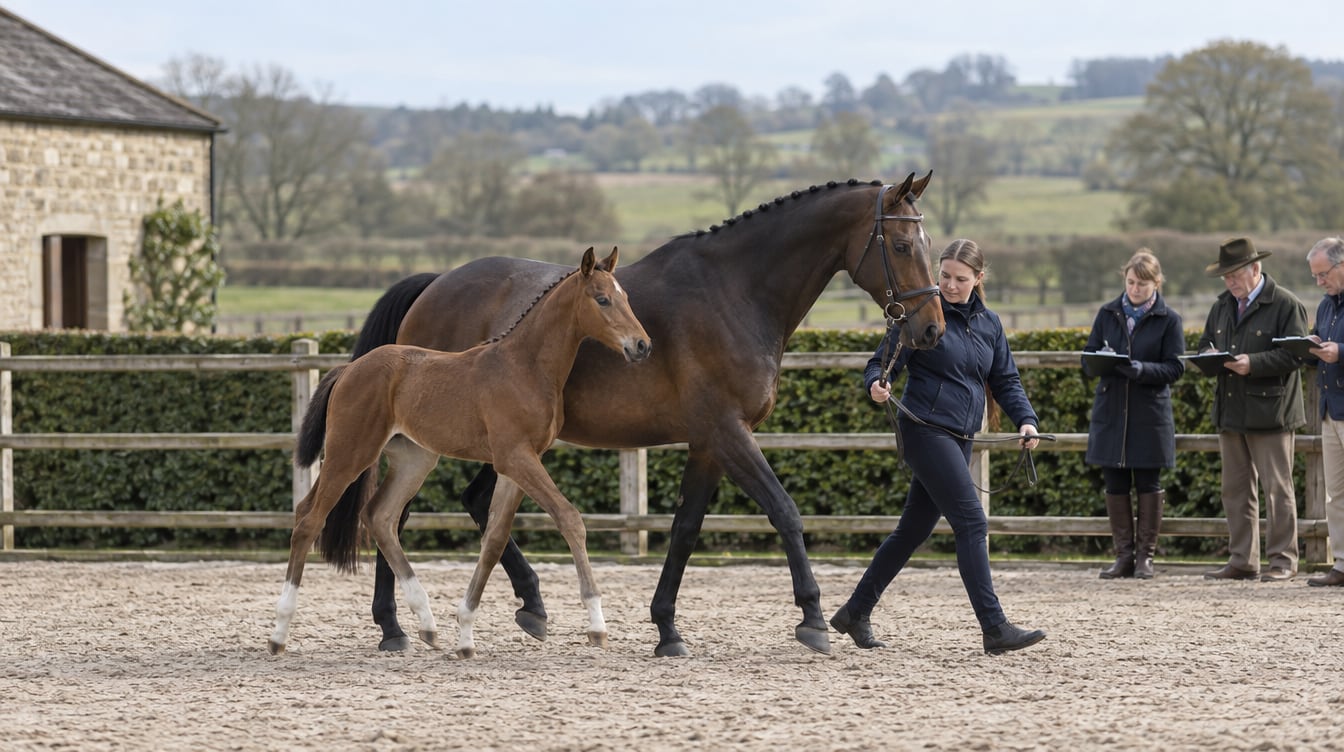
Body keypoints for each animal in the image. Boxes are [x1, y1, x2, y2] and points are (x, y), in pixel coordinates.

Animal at [267, 247, 651, 658]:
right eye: (602, 299)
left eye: (627, 297)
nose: (642, 345)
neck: (525, 367)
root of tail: (349, 368)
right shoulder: (515, 457)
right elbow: (569, 518)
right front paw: (597, 625)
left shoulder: (519, 463)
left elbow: (494, 539)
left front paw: (466, 634)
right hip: (349, 451)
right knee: (309, 517)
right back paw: (280, 633)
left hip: (415, 458)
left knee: (380, 516)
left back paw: (425, 623)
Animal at [338, 173, 944, 657]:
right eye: (900, 242)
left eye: (928, 242)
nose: (932, 328)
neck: (734, 293)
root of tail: (433, 285)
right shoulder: (729, 432)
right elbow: (785, 512)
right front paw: (814, 619)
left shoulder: (708, 442)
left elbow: (685, 528)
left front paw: (667, 629)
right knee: (394, 514)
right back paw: (394, 627)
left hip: (492, 445)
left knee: (461, 504)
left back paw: (529, 605)